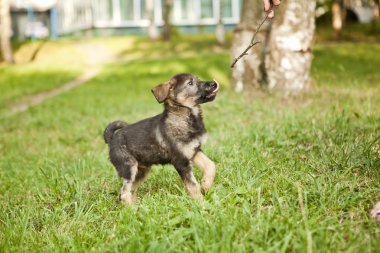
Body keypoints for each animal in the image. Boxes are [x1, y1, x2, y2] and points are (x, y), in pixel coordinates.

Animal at [104, 73, 220, 206]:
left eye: (198, 79)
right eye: (190, 83)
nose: (214, 83)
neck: (184, 116)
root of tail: (111, 139)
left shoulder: (193, 150)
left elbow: (210, 165)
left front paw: (205, 185)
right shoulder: (180, 161)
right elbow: (192, 185)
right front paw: (201, 204)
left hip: (142, 170)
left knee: (130, 190)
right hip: (129, 167)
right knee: (123, 193)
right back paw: (132, 209)